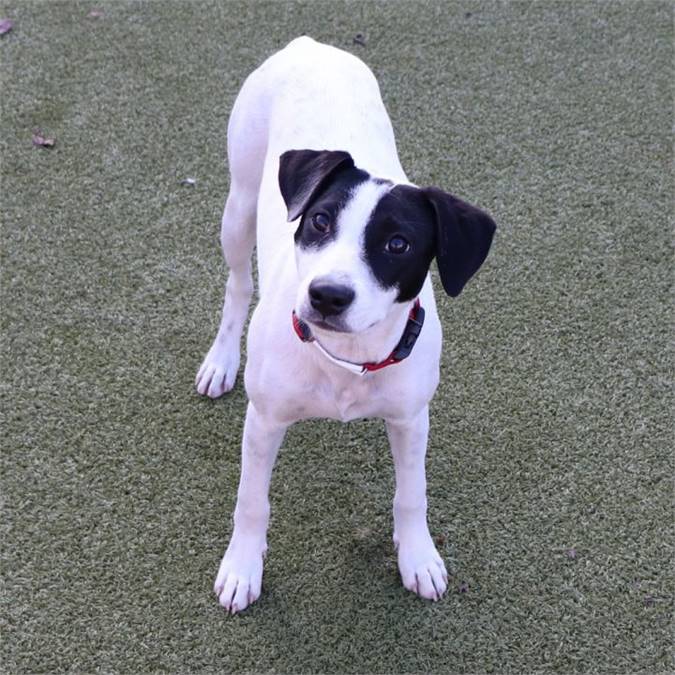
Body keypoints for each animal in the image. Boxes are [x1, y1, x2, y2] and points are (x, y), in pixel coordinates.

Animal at [195, 38, 496, 616]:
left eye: (398, 244)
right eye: (320, 221)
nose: (326, 295)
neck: (344, 357)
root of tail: (309, 45)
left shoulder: (411, 419)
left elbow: (411, 495)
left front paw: (418, 556)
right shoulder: (264, 420)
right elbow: (251, 501)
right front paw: (242, 568)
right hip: (238, 207)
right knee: (238, 286)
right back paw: (220, 361)